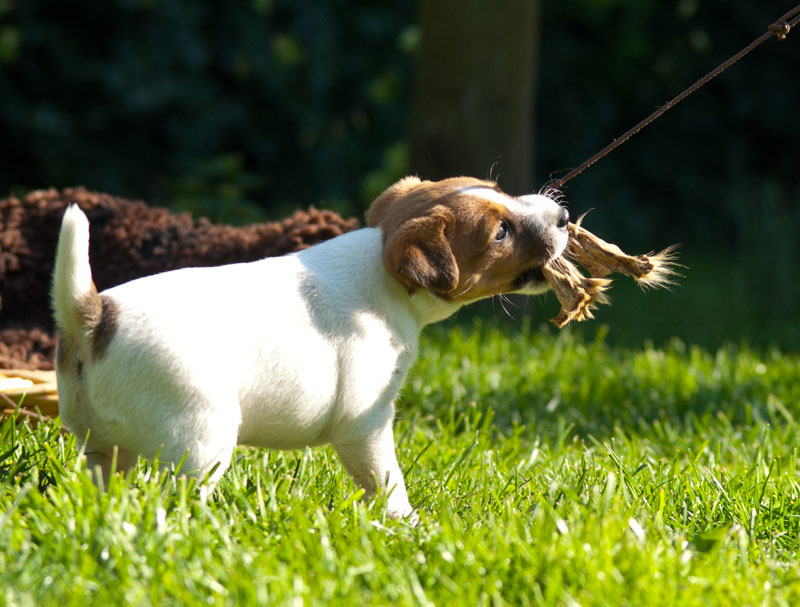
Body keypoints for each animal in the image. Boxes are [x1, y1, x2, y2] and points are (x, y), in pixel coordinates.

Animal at [51, 175, 568, 516]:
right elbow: (387, 483)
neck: (383, 272)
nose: (563, 216)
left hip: (102, 446)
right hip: (199, 439)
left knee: (106, 481)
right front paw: (410, 527)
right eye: (500, 232)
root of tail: (95, 315)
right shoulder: (365, 423)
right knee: (174, 499)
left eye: (498, 188)